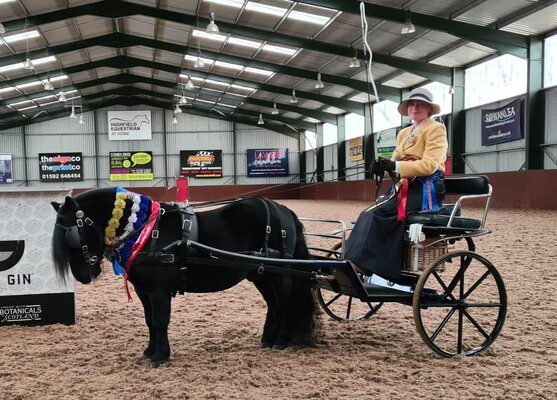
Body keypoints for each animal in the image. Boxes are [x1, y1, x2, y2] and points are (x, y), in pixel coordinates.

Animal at [54, 189, 320, 368]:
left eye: (73, 234)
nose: (83, 276)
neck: (146, 231)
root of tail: (282, 209)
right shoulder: (143, 291)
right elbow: (150, 322)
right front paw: (149, 351)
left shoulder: (159, 291)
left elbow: (160, 321)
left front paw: (160, 356)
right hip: (260, 274)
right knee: (274, 305)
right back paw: (267, 339)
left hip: (279, 273)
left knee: (285, 303)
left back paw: (281, 341)